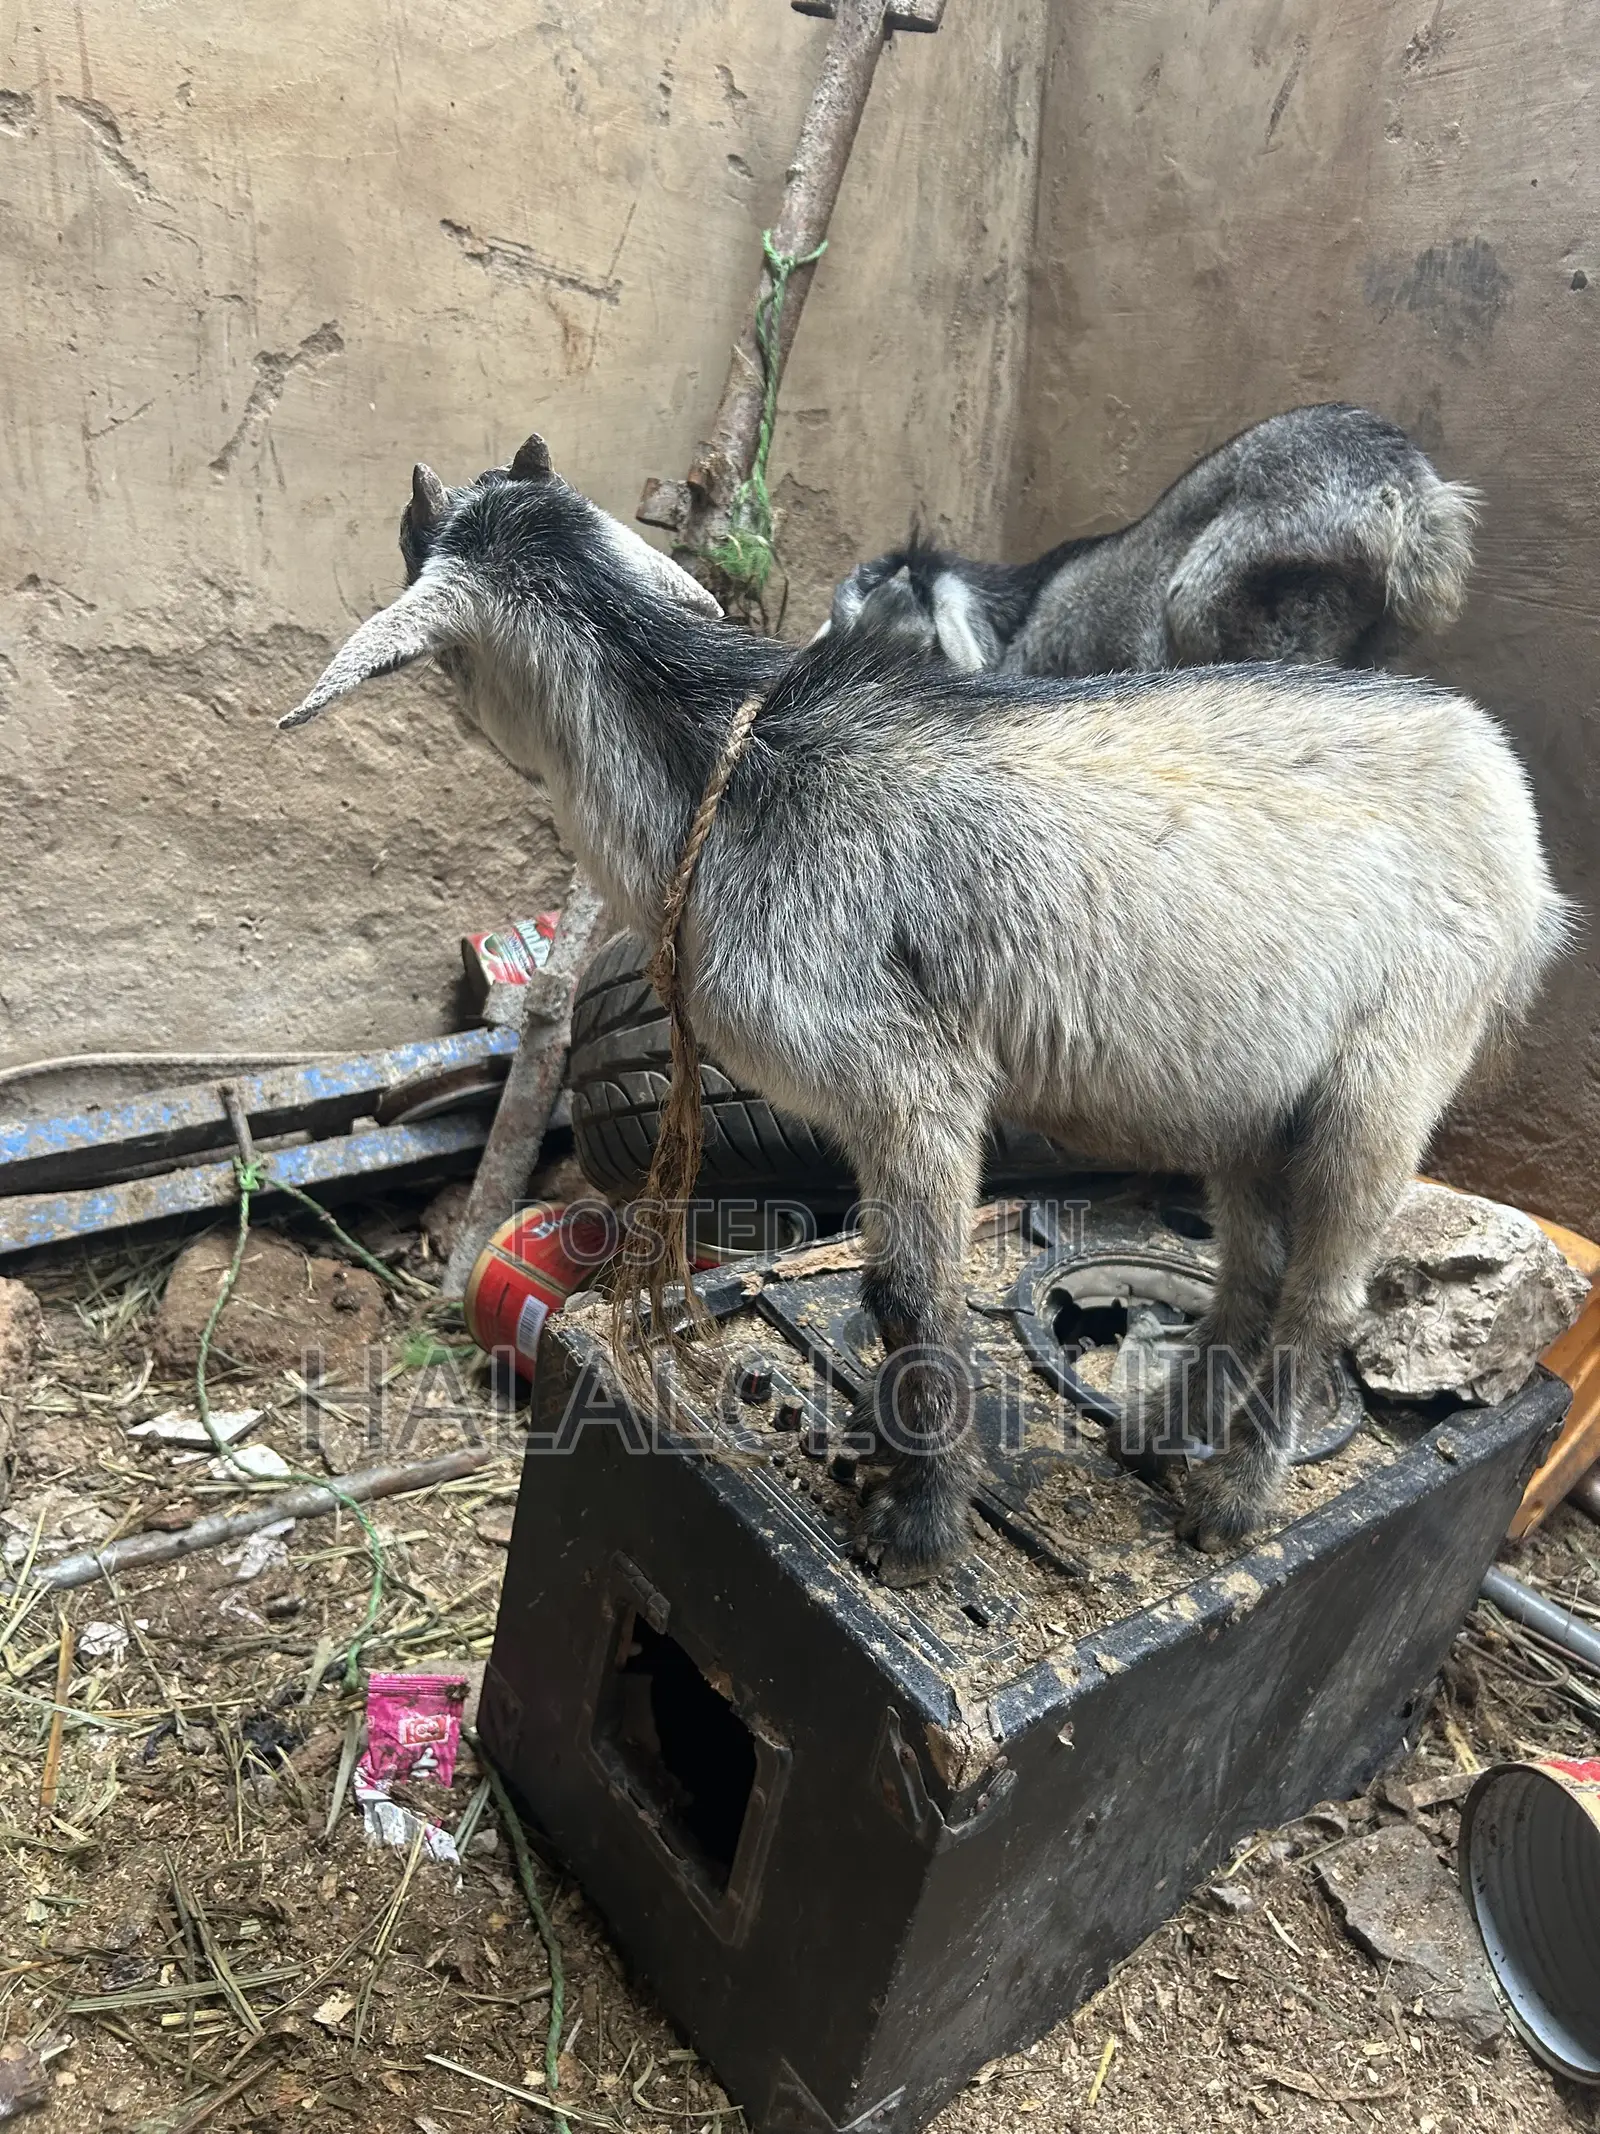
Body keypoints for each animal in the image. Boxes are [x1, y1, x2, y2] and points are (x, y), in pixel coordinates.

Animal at [282, 435, 1566, 1584]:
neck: (731, 770)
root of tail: (1497, 777)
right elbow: (887, 1289)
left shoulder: (909, 1081)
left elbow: (909, 1295)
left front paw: (919, 1527)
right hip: (1249, 1086)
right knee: (1250, 1266)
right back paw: (1160, 1430)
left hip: (1394, 1067)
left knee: (1320, 1292)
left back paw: (1235, 1502)